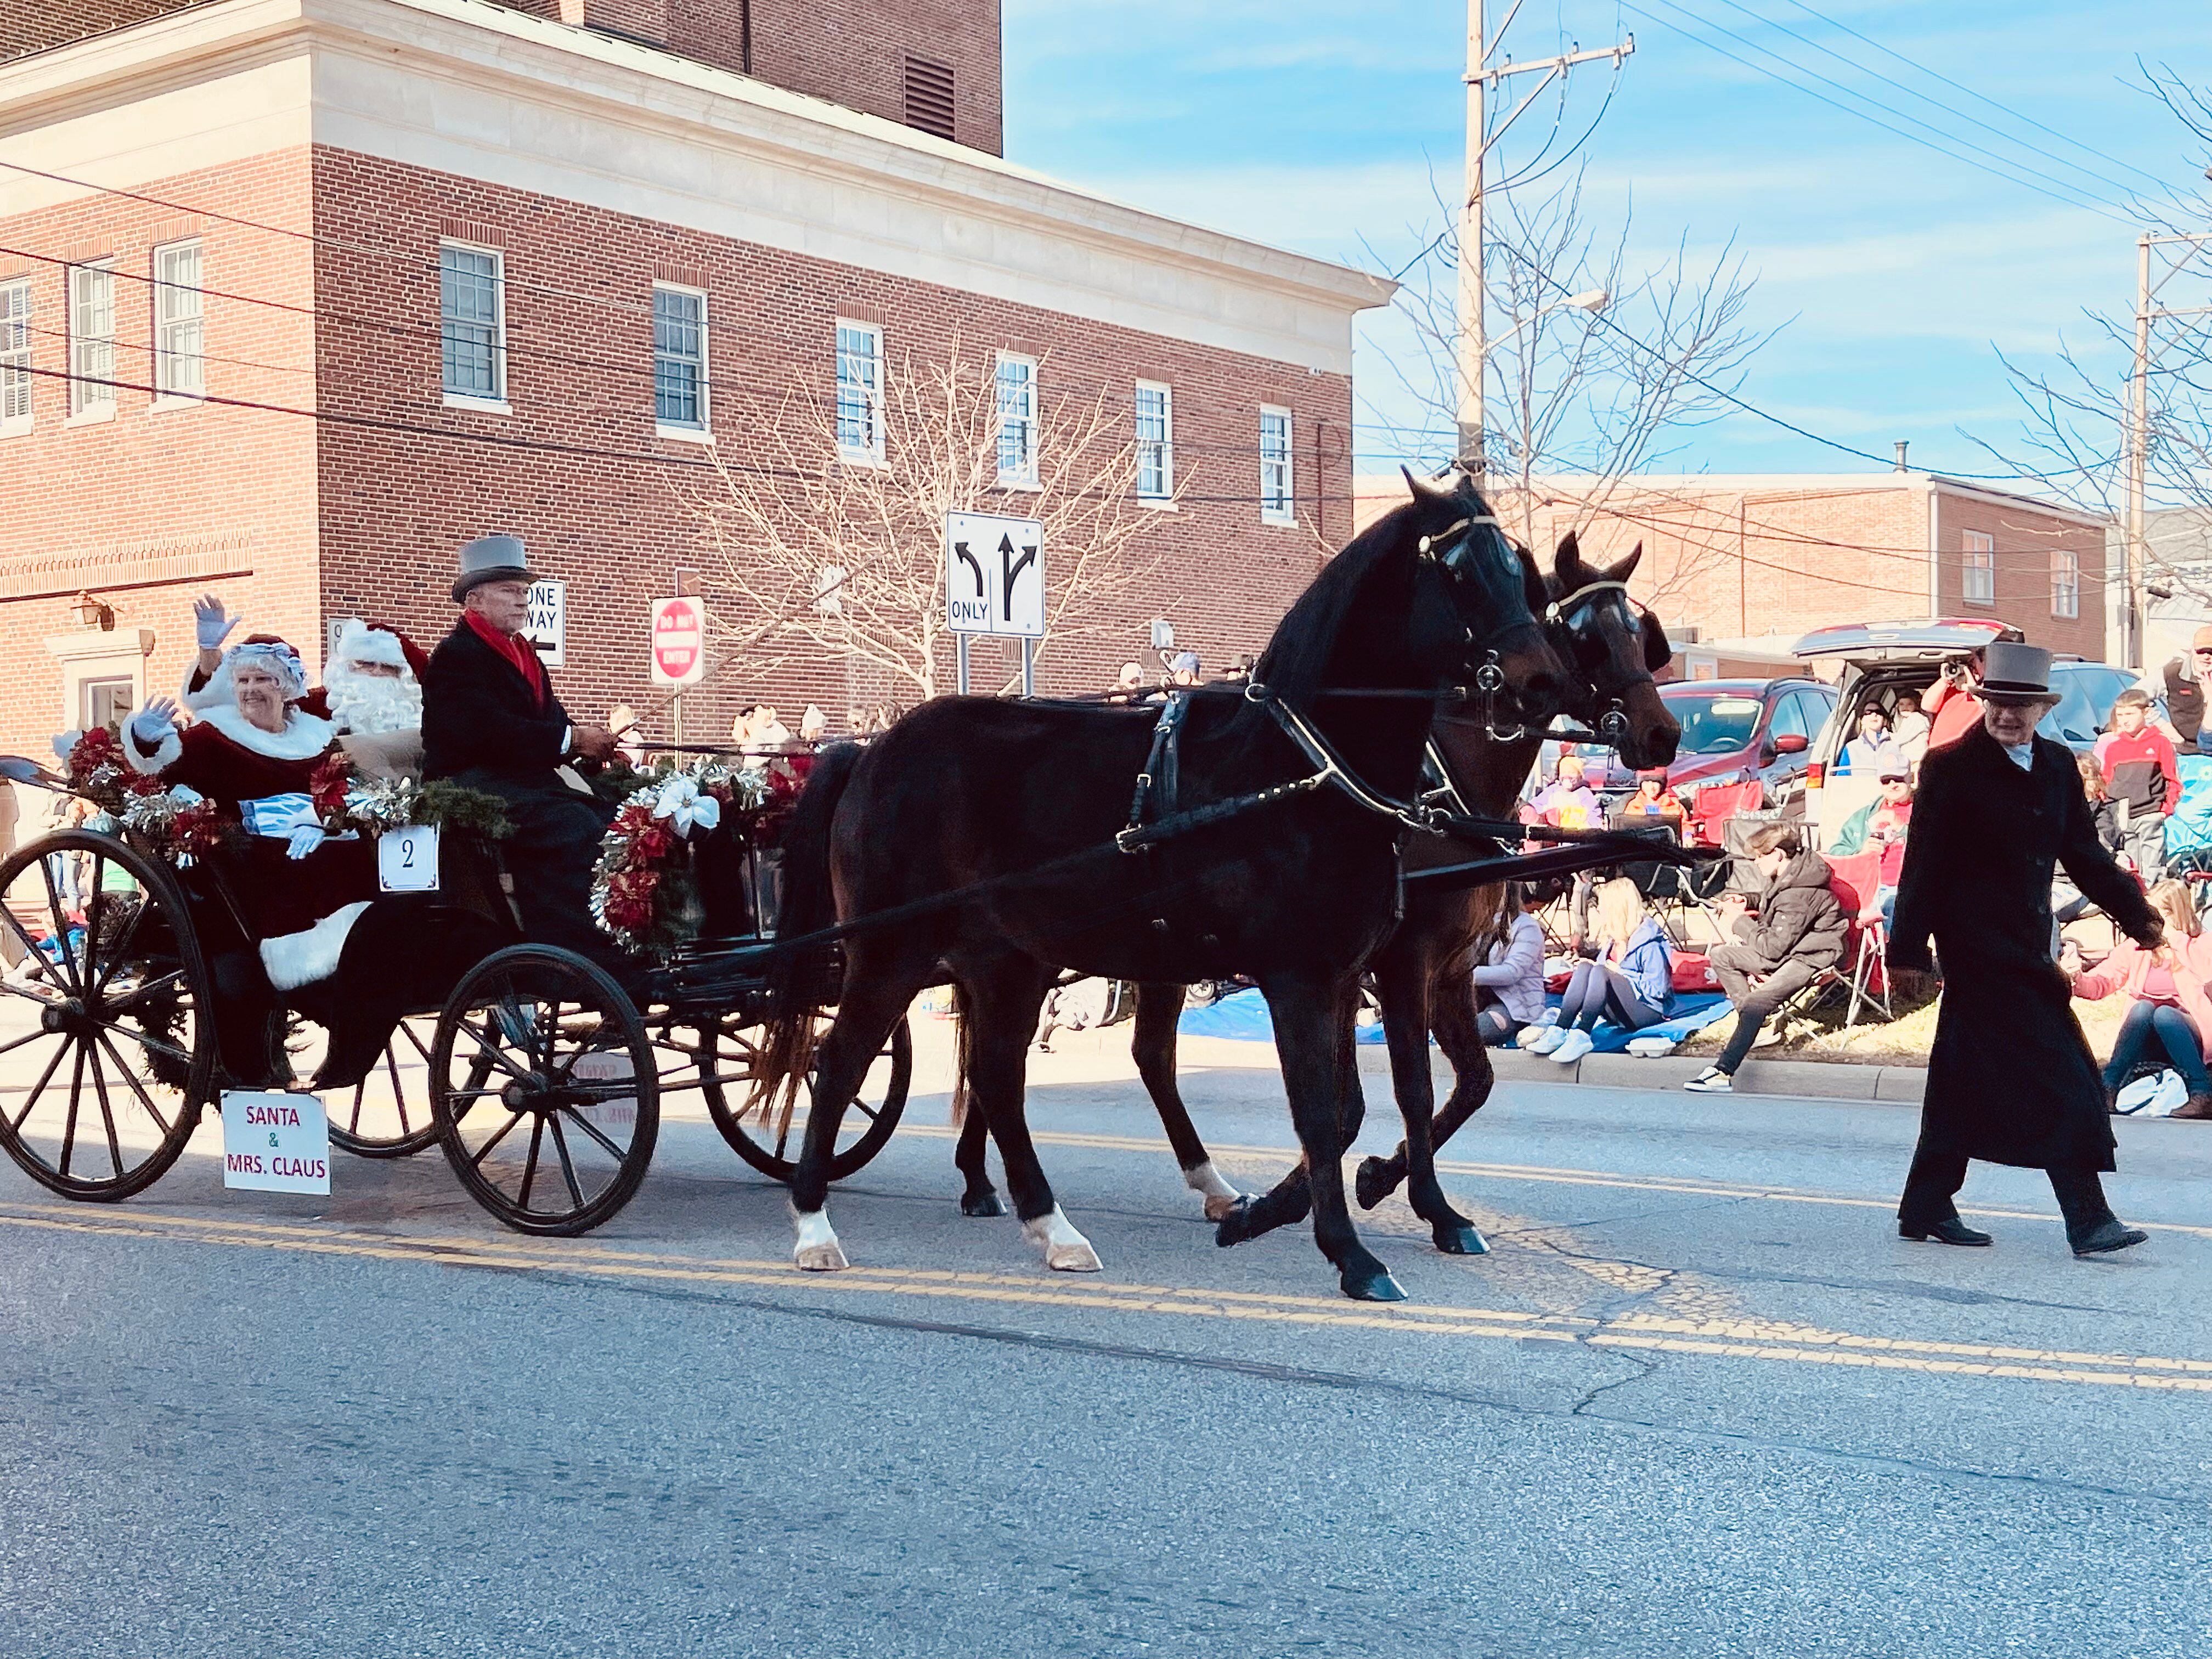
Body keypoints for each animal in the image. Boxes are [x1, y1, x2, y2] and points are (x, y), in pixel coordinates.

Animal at [756, 469, 1575, 1300]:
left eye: (1520, 573)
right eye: (1461, 572)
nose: (1543, 679)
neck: (1299, 768)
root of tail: (870, 749)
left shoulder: (1350, 973)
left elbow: (1353, 1107)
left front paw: (1277, 1217)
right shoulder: (1305, 975)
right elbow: (1321, 1114)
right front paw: (1351, 1254)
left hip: (1006, 960)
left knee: (996, 1076)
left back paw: (1052, 1226)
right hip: (891, 951)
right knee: (842, 1064)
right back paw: (815, 1225)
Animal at [951, 533, 1672, 1248]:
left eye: (1641, 634)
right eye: (1586, 636)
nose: (1662, 732)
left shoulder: (1443, 967)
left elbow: (1470, 1083)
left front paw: (1359, 1186)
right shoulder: (1388, 962)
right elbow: (1376, 1097)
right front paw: (1348, 1199)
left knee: (1115, 1054)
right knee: (1003, 1051)